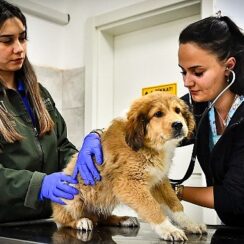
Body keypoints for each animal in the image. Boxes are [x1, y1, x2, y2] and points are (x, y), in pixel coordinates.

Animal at [52, 92, 206, 242]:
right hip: (71, 194)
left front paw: (191, 224)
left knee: (102, 217)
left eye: (177, 110)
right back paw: (81, 221)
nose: (179, 124)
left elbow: (174, 204)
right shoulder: (128, 184)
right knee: (63, 220)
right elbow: (152, 207)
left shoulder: (159, 181)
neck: (148, 146)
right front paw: (169, 230)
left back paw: (124, 219)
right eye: (158, 114)